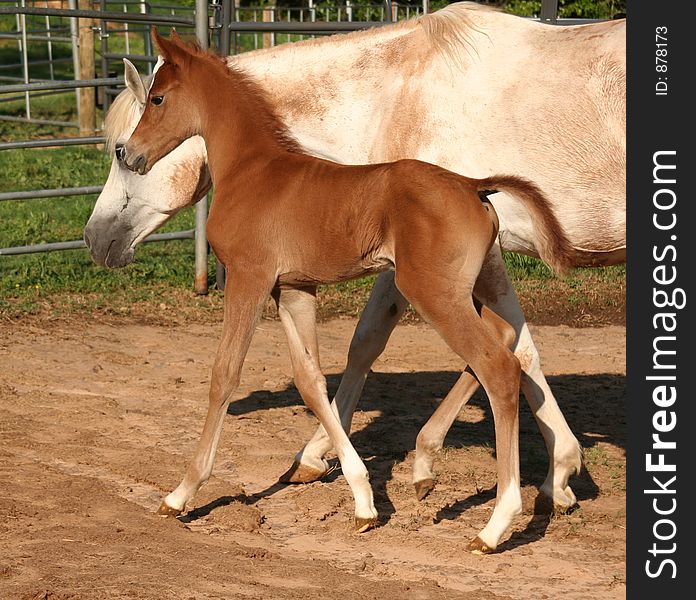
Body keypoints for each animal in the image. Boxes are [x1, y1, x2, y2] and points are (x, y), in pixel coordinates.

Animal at [119, 30, 572, 552]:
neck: (252, 170)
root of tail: (472, 186)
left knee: (497, 367)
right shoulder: (293, 288)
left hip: (433, 292)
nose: (129, 154)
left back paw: (496, 524)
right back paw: (429, 468)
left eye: (157, 98)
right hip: (476, 285)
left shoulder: (249, 280)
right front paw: (361, 500)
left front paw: (181, 494)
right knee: (508, 346)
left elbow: (224, 375)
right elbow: (311, 381)